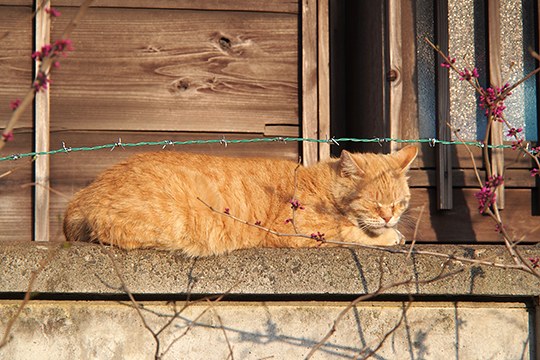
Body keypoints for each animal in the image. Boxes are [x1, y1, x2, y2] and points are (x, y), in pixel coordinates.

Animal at [63, 145, 418, 258]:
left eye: (400, 203)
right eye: (374, 203)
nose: (389, 217)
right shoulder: (304, 232)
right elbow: (356, 234)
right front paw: (390, 236)